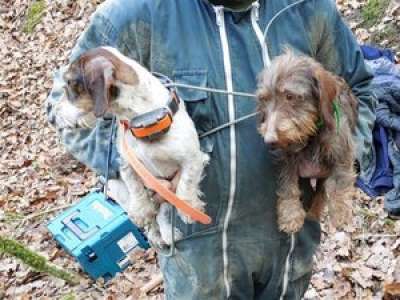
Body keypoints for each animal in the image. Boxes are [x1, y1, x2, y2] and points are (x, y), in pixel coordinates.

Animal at [55, 46, 209, 244]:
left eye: (69, 83)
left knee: (163, 211)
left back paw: (167, 233)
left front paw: (189, 207)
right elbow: (135, 187)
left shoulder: (193, 158)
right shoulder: (127, 163)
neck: (143, 119)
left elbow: (185, 185)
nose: (55, 114)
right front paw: (141, 211)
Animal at [258, 51, 358, 234]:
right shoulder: (285, 159)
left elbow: (339, 180)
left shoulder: (341, 149)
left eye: (290, 96)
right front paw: (290, 214)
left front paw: (340, 211)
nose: (269, 141)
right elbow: (288, 185)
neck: (310, 134)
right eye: (264, 99)